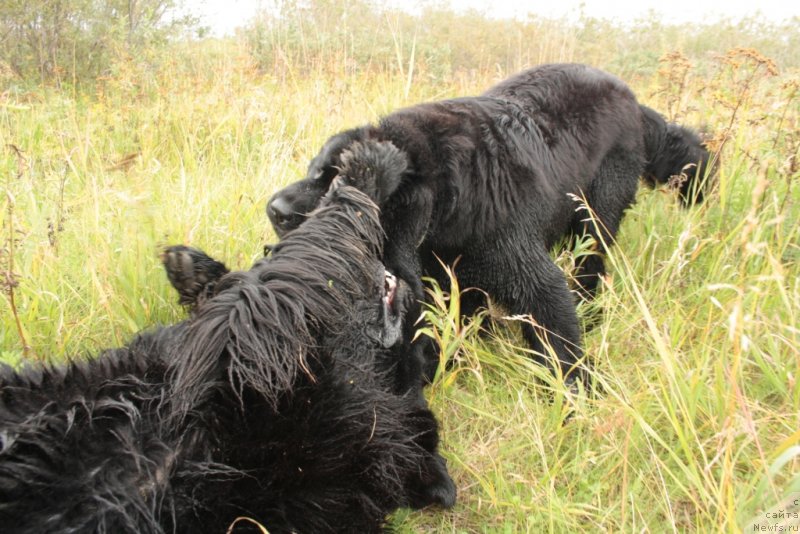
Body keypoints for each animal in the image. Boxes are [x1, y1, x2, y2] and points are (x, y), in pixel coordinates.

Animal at [264, 65, 712, 388]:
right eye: (315, 171)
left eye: (339, 182)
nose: (274, 209)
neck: (450, 199)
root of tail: (633, 99)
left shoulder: (529, 273)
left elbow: (558, 339)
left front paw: (576, 399)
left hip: (597, 212)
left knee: (591, 261)